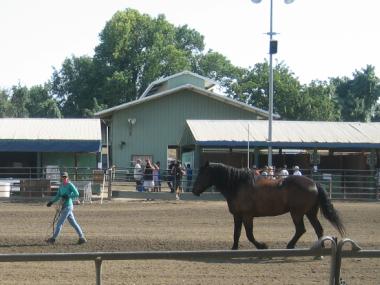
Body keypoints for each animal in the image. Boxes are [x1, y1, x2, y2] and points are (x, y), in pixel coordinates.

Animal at [193, 162, 344, 248]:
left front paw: (262, 246)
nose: (194, 190)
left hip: (297, 213)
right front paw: (234, 248)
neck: (238, 185)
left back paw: (290, 246)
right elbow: (237, 233)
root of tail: (314, 183)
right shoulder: (237, 216)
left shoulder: (247, 216)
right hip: (310, 213)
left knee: (301, 229)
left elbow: (249, 234)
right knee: (318, 229)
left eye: (201, 174)